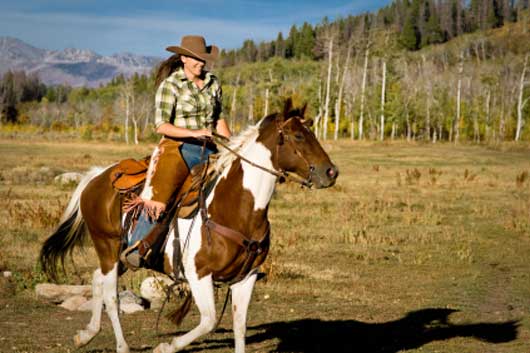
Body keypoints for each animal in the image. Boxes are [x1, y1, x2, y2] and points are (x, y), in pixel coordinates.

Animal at [39, 98, 336, 352]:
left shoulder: (246, 278)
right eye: (298, 136)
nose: (331, 172)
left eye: (312, 132)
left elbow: (239, 326)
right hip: (107, 247)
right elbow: (209, 320)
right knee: (111, 295)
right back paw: (121, 346)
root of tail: (97, 176)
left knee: (96, 280)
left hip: (121, 255)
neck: (236, 209)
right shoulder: (198, 275)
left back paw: (86, 335)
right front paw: (165, 347)